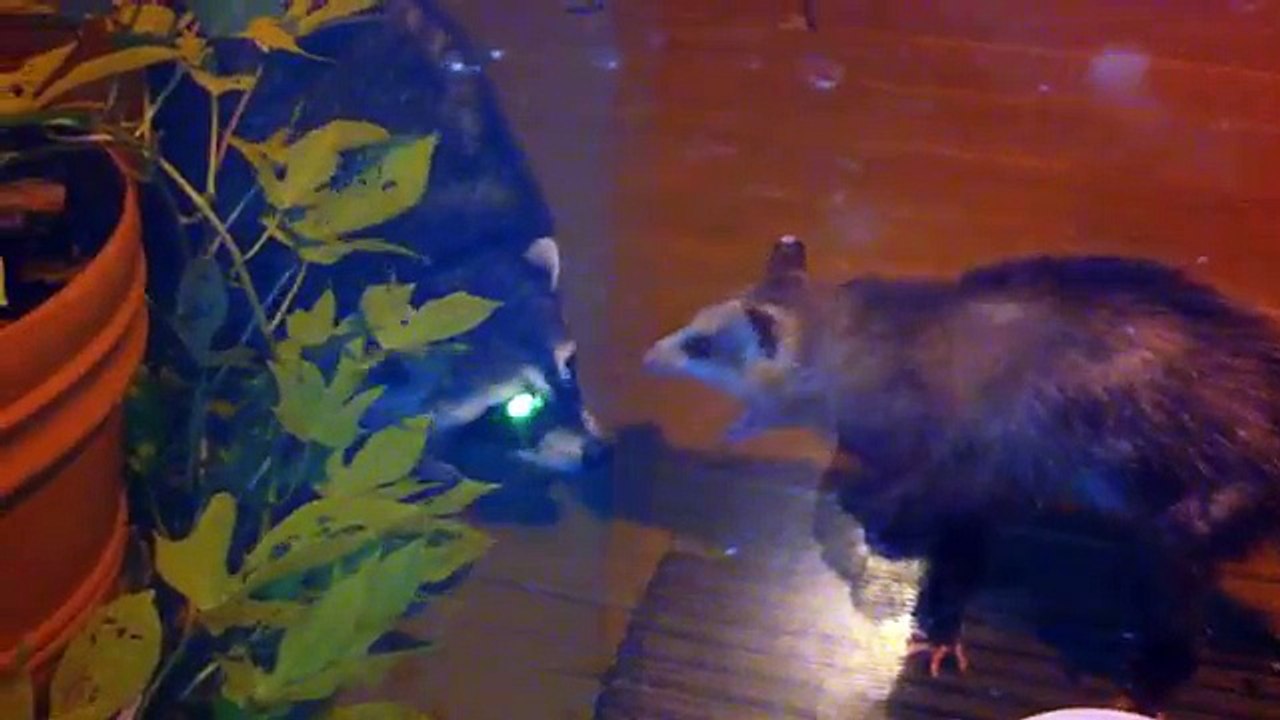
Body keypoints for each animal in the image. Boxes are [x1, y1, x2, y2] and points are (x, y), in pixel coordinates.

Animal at [643, 235, 1280, 714]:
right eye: (696, 322)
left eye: (701, 344)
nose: (646, 357)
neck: (864, 347)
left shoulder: (964, 464)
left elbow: (958, 540)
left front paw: (938, 629)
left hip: (1197, 518)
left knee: (1178, 608)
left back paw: (1145, 685)